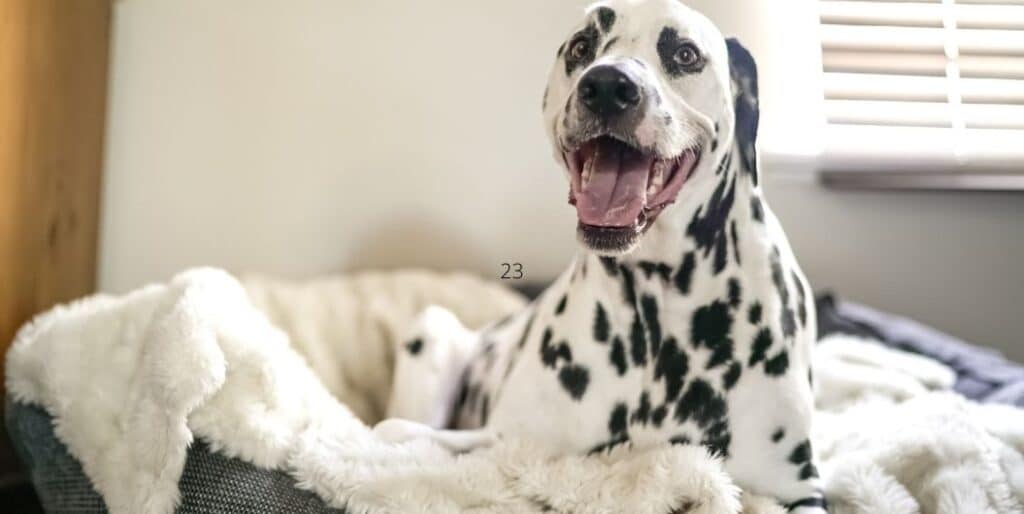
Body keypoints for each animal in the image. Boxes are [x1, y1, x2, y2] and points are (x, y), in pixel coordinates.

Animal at [376, 2, 823, 511]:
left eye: (685, 53)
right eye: (581, 46)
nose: (608, 86)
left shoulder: (796, 491)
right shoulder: (509, 443)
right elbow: (397, 433)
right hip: (431, 329)